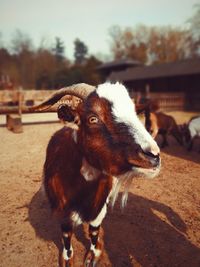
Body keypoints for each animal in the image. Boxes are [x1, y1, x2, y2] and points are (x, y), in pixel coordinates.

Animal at [31, 82, 161, 266]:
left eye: (135, 114)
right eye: (93, 118)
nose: (153, 155)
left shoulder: (98, 209)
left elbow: (94, 231)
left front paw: (93, 255)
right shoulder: (62, 211)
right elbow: (66, 235)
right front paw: (67, 258)